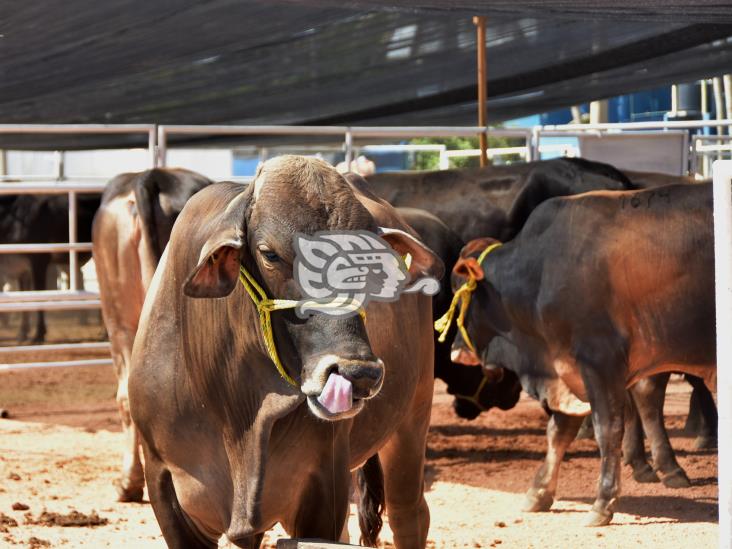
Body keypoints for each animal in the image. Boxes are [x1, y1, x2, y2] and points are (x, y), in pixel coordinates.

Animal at [129, 156, 444, 544]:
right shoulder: (164, 485)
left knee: (409, 513)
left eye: (370, 261)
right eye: (269, 254)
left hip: (414, 415)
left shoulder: (324, 481)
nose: (357, 373)